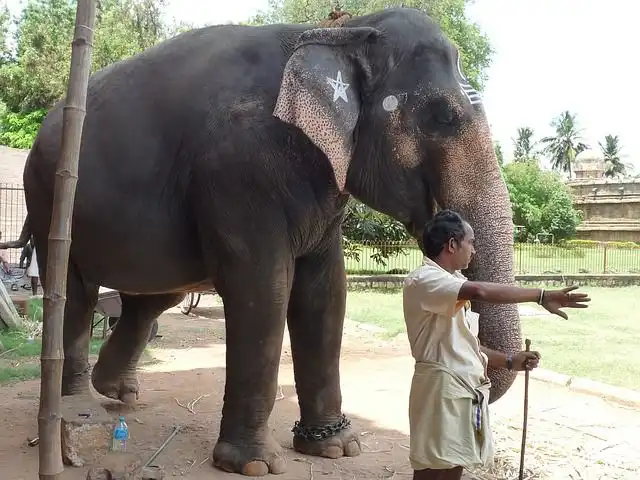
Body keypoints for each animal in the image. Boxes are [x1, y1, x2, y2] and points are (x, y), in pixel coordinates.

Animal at [15, 6, 521, 477]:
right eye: (442, 117)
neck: (338, 29)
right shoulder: (238, 168)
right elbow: (264, 288)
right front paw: (254, 464)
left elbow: (326, 294)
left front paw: (335, 447)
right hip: (48, 197)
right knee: (75, 294)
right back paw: (77, 408)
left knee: (156, 295)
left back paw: (116, 392)